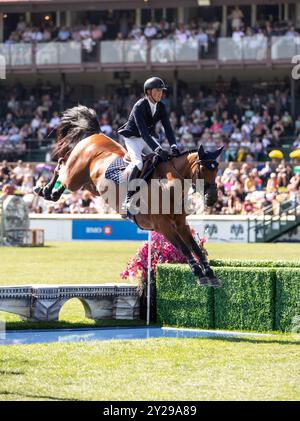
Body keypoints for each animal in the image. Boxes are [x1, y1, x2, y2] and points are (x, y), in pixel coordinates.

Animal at [35, 106, 223, 288]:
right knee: (61, 166)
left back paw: (51, 193)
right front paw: (198, 273)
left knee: (64, 172)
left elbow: (195, 247)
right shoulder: (163, 225)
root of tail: (96, 134)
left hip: (90, 185)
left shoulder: (181, 224)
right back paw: (44, 190)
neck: (168, 185)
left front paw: (210, 274)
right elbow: (183, 247)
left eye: (217, 170)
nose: (213, 198)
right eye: (203, 169)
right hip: (75, 176)